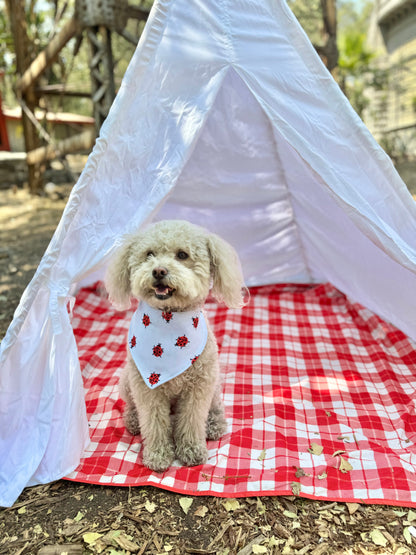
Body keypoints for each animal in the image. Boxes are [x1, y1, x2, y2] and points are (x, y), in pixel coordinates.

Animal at [105, 219, 245, 472]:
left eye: (182, 255)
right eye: (149, 254)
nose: (159, 271)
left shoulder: (198, 388)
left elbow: (191, 420)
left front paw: (191, 451)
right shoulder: (147, 390)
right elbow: (154, 423)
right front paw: (158, 455)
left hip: (213, 383)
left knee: (215, 406)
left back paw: (214, 424)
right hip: (127, 382)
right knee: (132, 407)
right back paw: (133, 420)